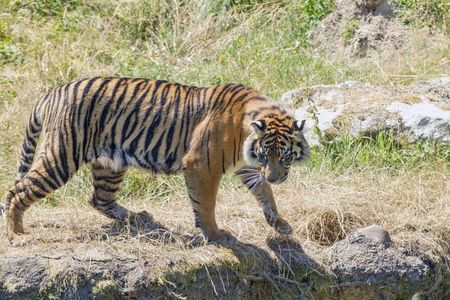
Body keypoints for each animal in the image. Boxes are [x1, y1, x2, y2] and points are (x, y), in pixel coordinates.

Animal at [0, 76, 310, 243]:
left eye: (284, 156)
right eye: (265, 154)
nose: (277, 177)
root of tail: (53, 91)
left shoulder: (246, 166)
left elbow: (264, 193)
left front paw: (280, 223)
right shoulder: (201, 165)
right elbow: (206, 205)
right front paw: (215, 235)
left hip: (110, 163)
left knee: (99, 198)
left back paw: (137, 217)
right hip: (62, 155)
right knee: (17, 191)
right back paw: (18, 235)